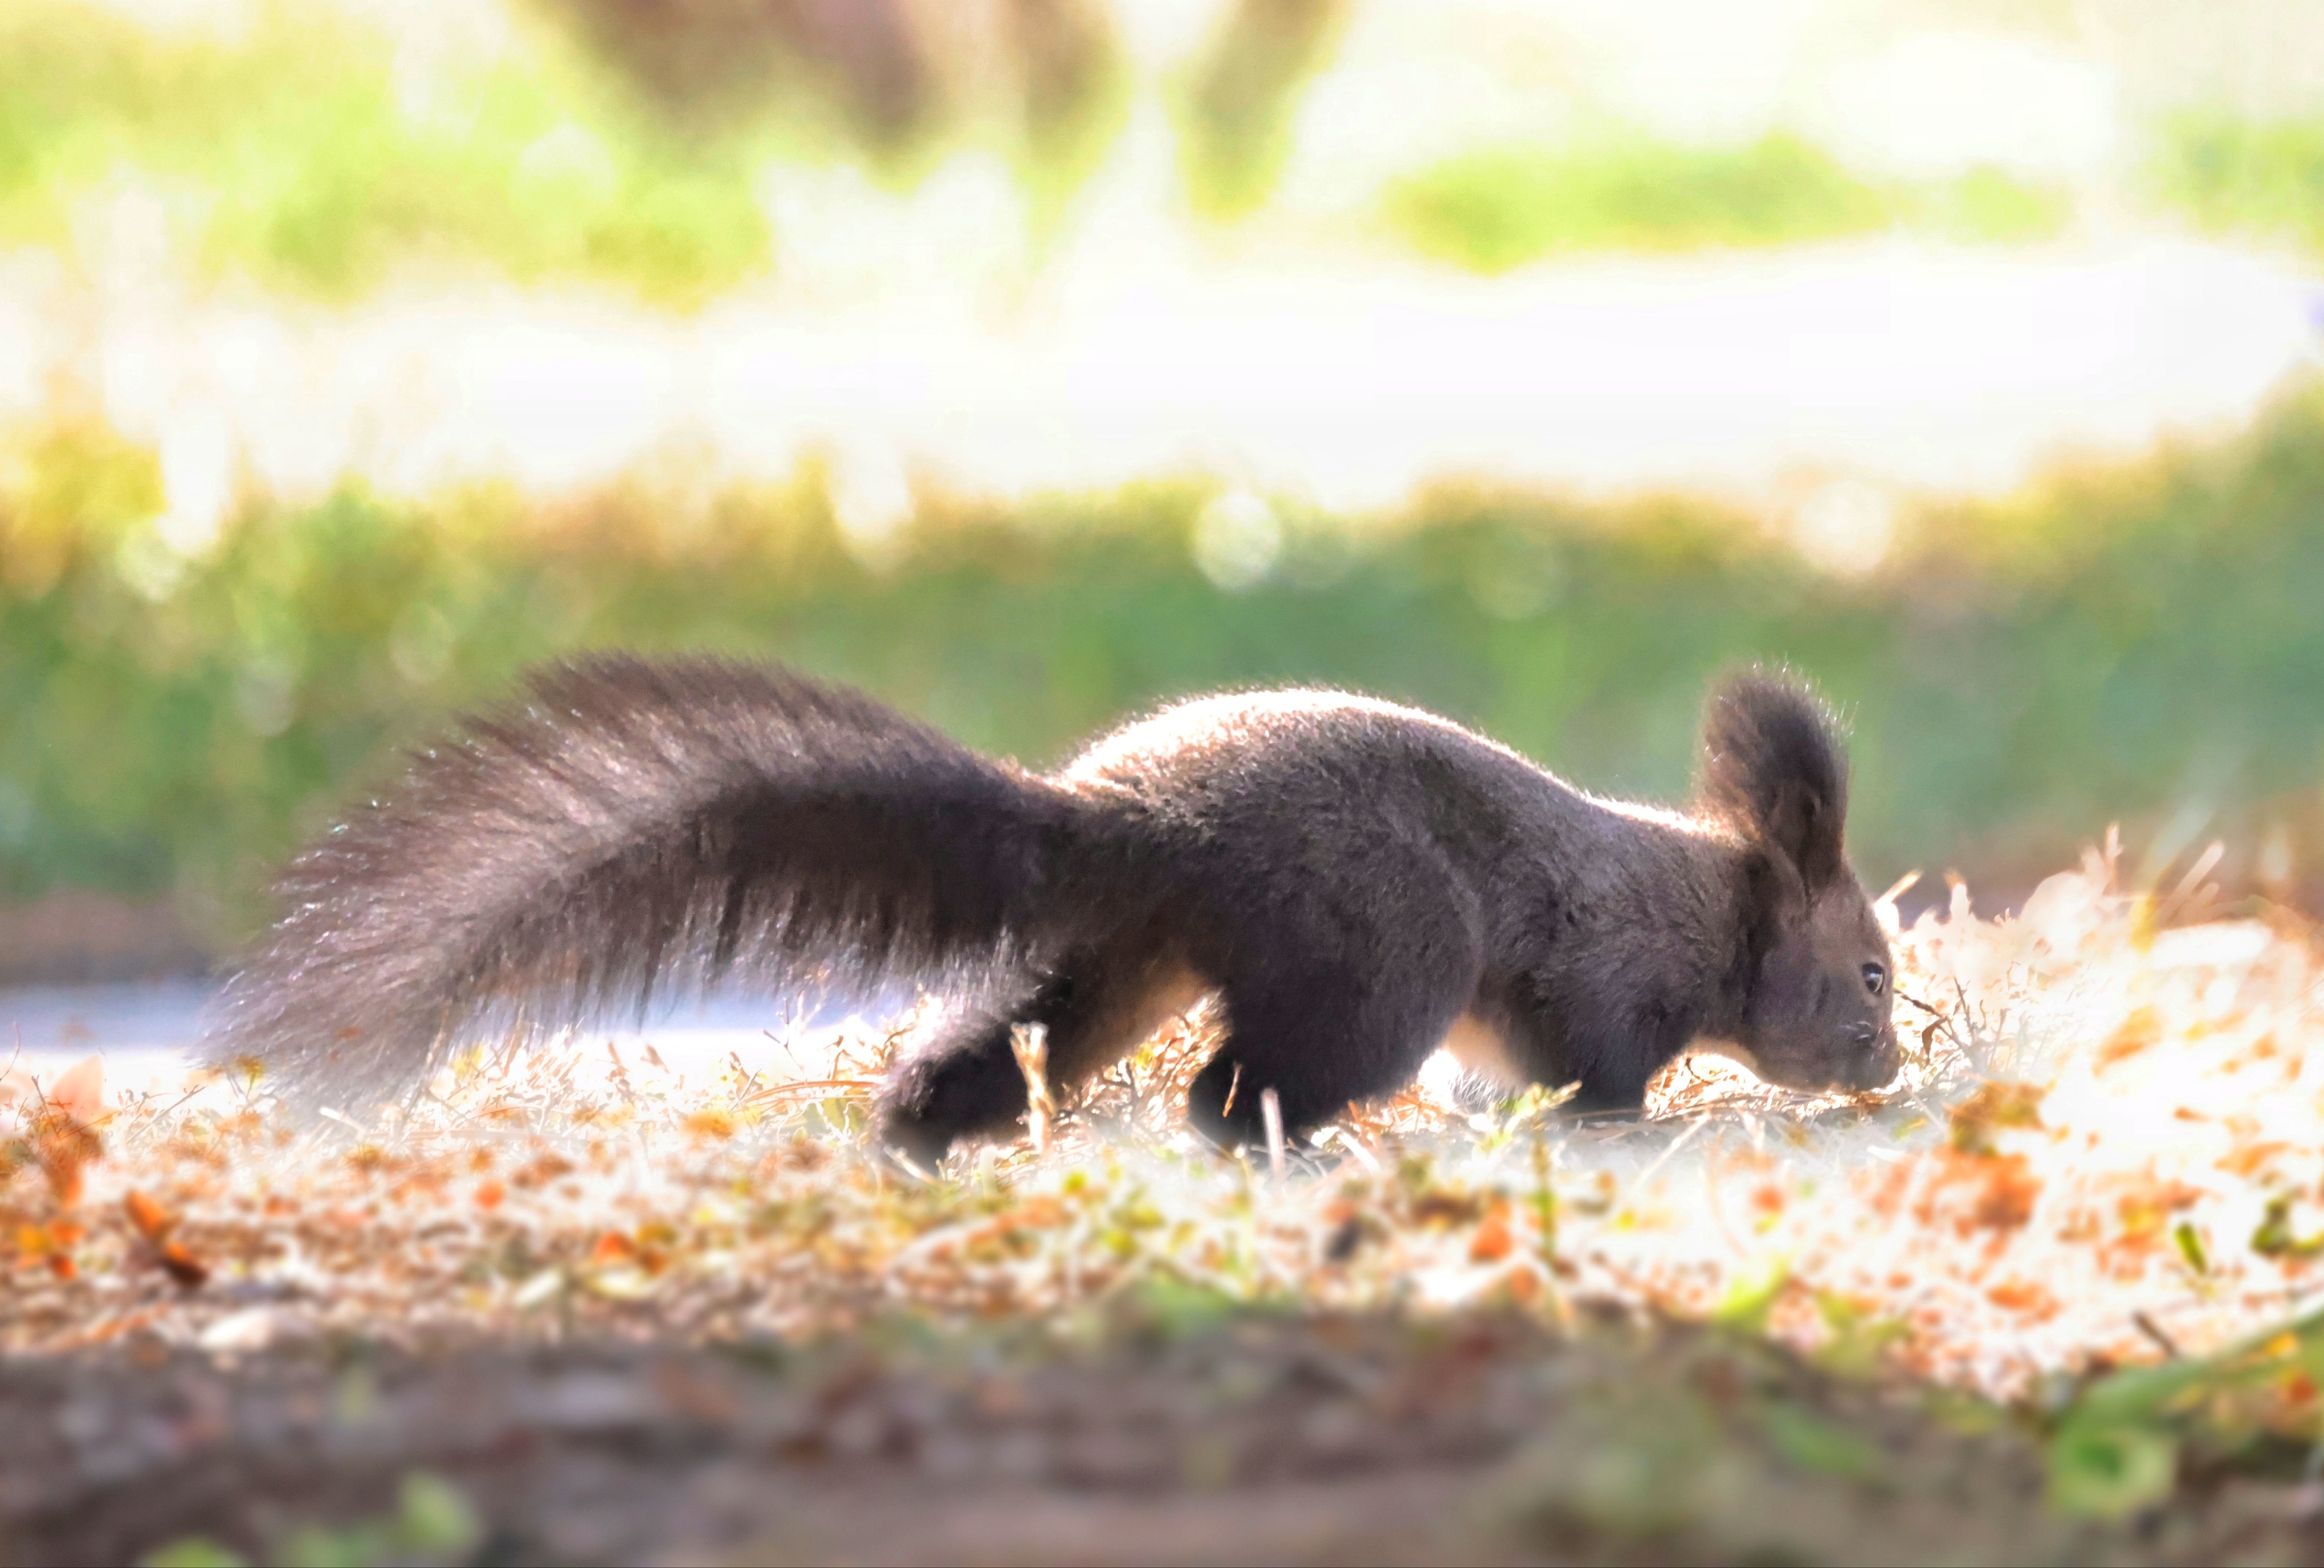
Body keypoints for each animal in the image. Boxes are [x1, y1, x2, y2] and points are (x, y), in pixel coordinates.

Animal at [204, 655, 1905, 1161]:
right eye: (1875, 977)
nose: (1889, 1063)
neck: (1709, 904)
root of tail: (1138, 826)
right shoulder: (1606, 980)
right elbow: (1597, 1072)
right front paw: (1625, 1125)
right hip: (1376, 956)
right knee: (1246, 1084)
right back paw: (1272, 1139)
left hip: (1116, 961)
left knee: (1007, 1044)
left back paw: (915, 1132)